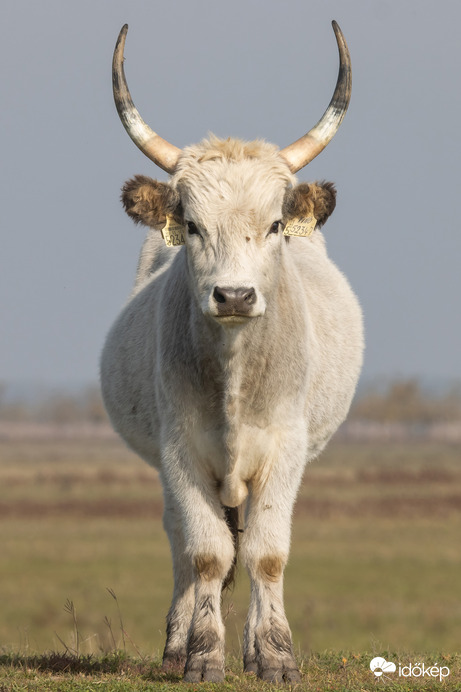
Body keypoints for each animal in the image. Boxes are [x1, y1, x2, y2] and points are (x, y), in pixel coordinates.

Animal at [100, 20, 362, 680]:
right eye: (193, 225)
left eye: (274, 225)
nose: (236, 294)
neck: (235, 378)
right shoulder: (179, 453)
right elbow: (206, 554)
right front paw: (200, 654)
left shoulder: (286, 450)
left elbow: (266, 554)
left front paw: (274, 656)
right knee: (184, 542)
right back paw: (178, 643)